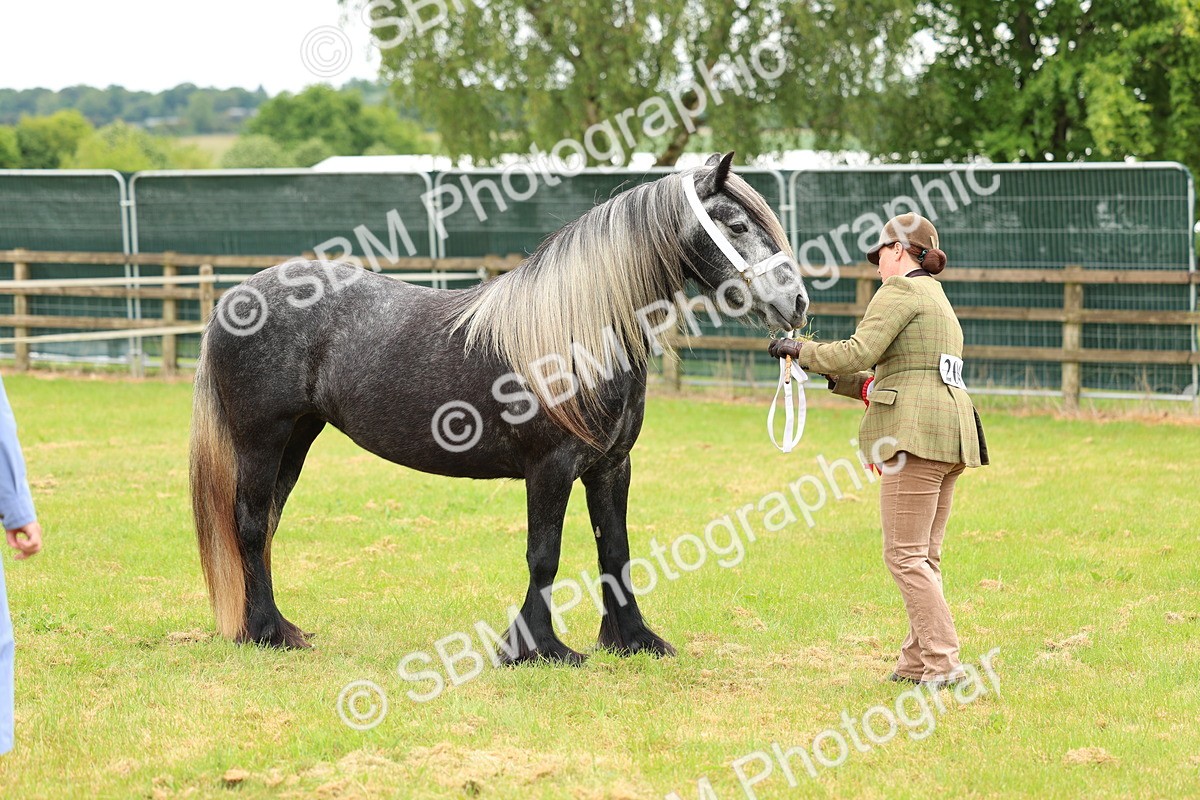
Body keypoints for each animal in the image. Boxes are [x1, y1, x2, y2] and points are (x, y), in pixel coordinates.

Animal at [189, 152, 808, 663]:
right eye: (736, 225)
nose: (797, 302)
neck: (577, 332)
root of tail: (235, 300)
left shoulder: (611, 468)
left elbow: (616, 552)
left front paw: (632, 640)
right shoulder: (550, 468)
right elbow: (545, 555)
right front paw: (537, 649)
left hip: (298, 436)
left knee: (267, 522)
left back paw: (273, 627)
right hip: (262, 438)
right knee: (249, 524)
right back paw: (267, 634)